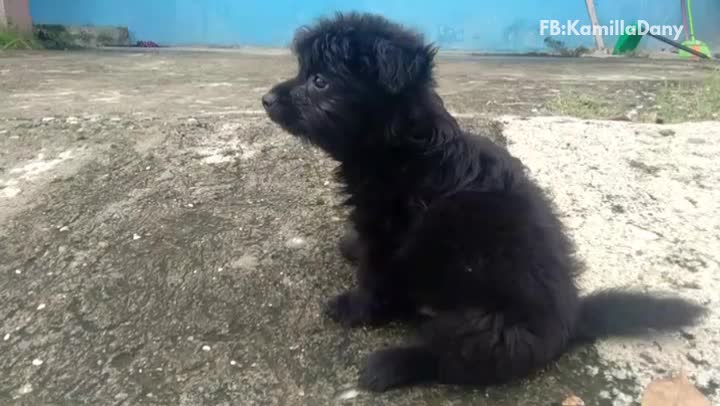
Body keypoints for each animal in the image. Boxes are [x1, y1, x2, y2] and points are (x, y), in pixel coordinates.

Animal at [262, 12, 704, 392]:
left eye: (319, 81)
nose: (265, 98)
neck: (406, 146)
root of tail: (572, 320)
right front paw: (351, 248)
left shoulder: (391, 236)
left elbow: (374, 279)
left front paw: (353, 309)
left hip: (483, 327)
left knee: (452, 361)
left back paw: (391, 365)